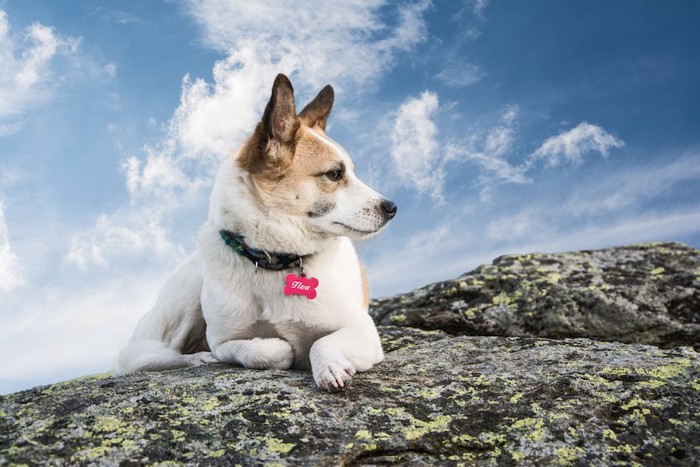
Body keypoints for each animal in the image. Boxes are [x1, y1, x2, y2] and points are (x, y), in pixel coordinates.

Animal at [117, 75, 396, 394]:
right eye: (335, 174)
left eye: (350, 171)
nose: (392, 208)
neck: (274, 260)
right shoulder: (224, 341)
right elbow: (258, 349)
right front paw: (280, 348)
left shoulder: (362, 330)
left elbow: (322, 342)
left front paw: (329, 366)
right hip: (187, 294)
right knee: (158, 355)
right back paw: (197, 359)